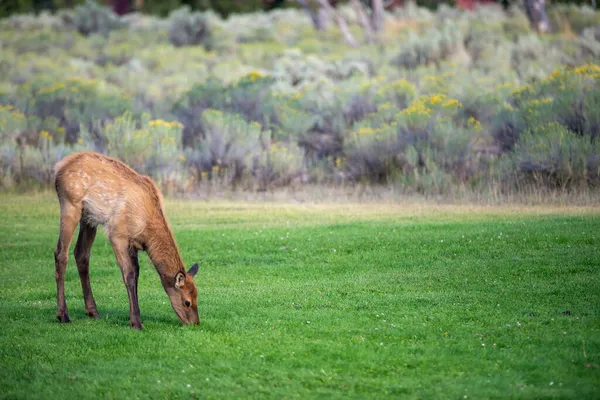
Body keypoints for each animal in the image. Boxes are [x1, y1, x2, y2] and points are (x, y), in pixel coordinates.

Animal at [54, 150, 199, 328]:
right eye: (187, 302)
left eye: (197, 296)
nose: (196, 323)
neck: (148, 233)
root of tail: (59, 167)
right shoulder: (118, 234)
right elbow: (128, 275)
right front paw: (136, 322)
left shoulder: (133, 243)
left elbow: (136, 274)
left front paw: (135, 316)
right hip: (70, 205)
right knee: (61, 253)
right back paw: (63, 314)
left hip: (89, 217)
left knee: (81, 254)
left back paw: (93, 311)